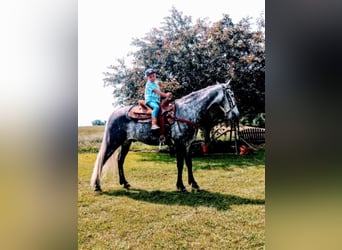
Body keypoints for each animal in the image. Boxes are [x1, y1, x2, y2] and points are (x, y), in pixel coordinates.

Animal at [91, 81, 240, 192]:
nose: (236, 115)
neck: (186, 111)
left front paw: (194, 184)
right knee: (103, 160)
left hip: (126, 142)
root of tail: (113, 114)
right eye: (231, 95)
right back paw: (97, 185)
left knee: (120, 160)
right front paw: (181, 186)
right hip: (113, 142)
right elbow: (180, 164)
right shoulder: (179, 144)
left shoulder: (187, 144)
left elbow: (189, 163)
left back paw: (125, 183)